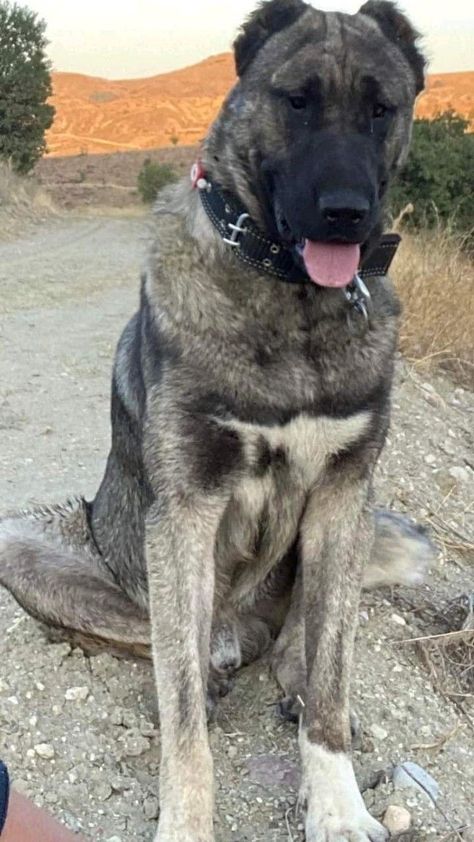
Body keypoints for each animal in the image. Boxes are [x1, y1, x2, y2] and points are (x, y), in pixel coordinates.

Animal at [0, 1, 434, 840]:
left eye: (382, 109)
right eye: (295, 100)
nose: (346, 214)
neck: (291, 302)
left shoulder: (344, 497)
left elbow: (330, 674)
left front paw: (336, 801)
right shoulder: (187, 512)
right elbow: (184, 718)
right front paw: (186, 817)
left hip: (364, 538)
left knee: (305, 637)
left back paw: (286, 673)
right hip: (42, 551)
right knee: (179, 650)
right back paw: (215, 668)